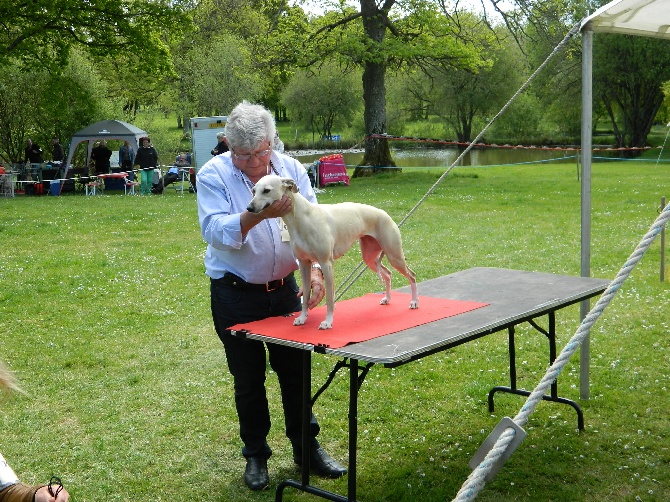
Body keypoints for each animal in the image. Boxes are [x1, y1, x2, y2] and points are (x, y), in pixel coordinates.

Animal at [247, 176, 420, 330]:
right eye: (254, 191)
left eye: (266, 190)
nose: (249, 208)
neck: (303, 218)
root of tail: (385, 214)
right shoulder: (304, 264)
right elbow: (306, 295)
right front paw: (302, 318)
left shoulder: (326, 263)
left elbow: (330, 298)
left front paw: (328, 322)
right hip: (369, 257)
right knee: (388, 274)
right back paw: (387, 298)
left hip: (394, 255)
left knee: (411, 275)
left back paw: (414, 302)